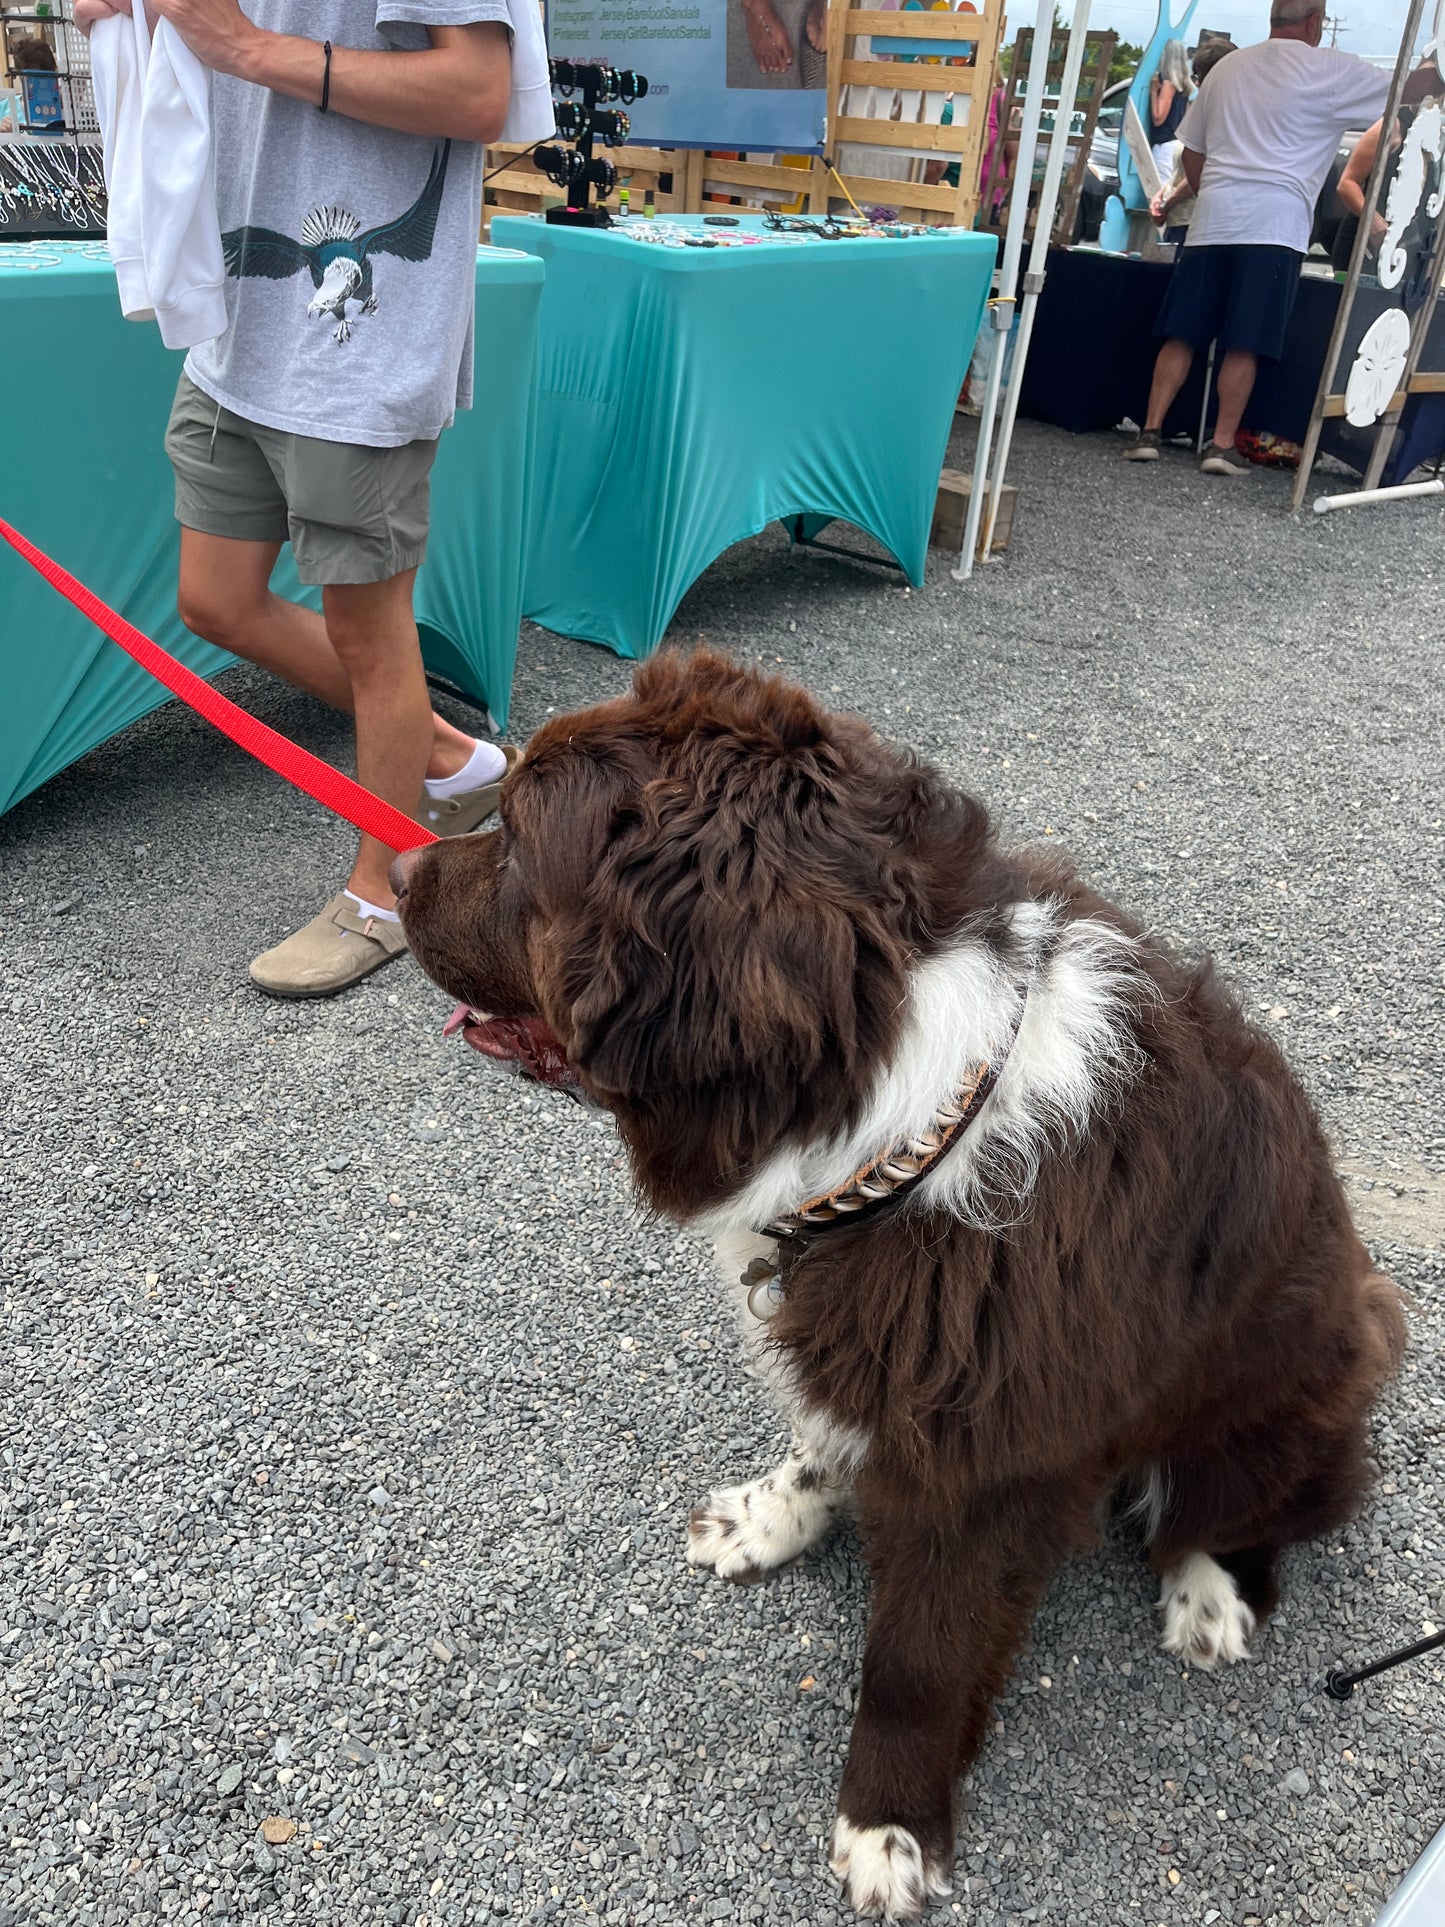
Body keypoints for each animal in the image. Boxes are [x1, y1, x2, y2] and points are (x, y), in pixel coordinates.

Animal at [391, 655, 1394, 1919]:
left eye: (520, 836)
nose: (394, 872)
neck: (892, 1105)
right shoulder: (870, 1347)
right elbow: (823, 1439)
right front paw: (770, 1518)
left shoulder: (985, 1464)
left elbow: (917, 1658)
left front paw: (888, 1822)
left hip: (1294, 1382)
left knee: (1257, 1505)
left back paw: (1208, 1587)